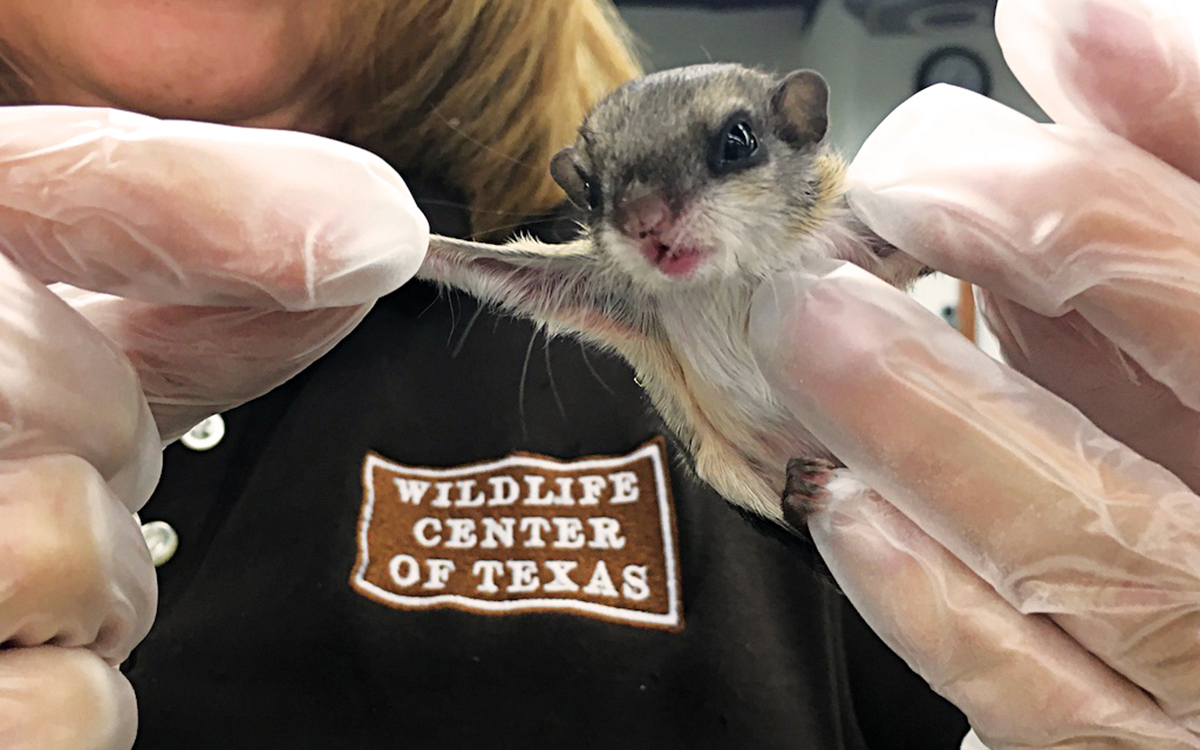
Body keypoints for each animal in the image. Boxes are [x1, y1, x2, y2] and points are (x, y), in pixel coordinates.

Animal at [418, 63, 927, 532]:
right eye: (590, 190)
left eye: (739, 140)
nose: (644, 220)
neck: (723, 280)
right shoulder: (614, 293)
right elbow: (516, 278)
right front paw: (426, 251)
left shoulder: (849, 240)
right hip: (723, 467)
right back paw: (800, 495)